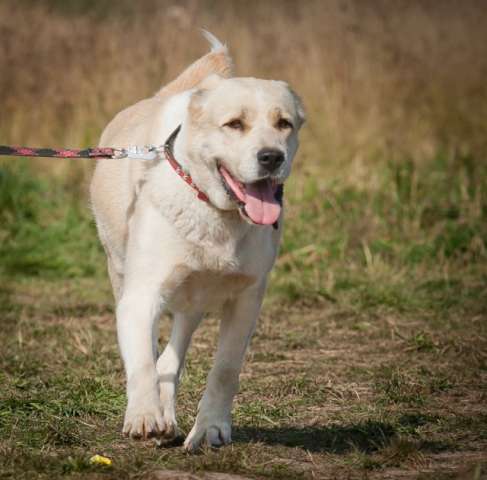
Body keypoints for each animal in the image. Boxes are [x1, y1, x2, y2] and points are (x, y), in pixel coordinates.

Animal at [89, 31, 304, 450]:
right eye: (234, 124)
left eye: (284, 123)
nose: (272, 157)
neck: (216, 211)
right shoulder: (140, 296)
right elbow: (142, 362)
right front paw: (143, 416)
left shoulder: (247, 299)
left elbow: (225, 369)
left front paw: (211, 429)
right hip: (122, 273)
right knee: (153, 354)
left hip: (194, 301)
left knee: (172, 357)